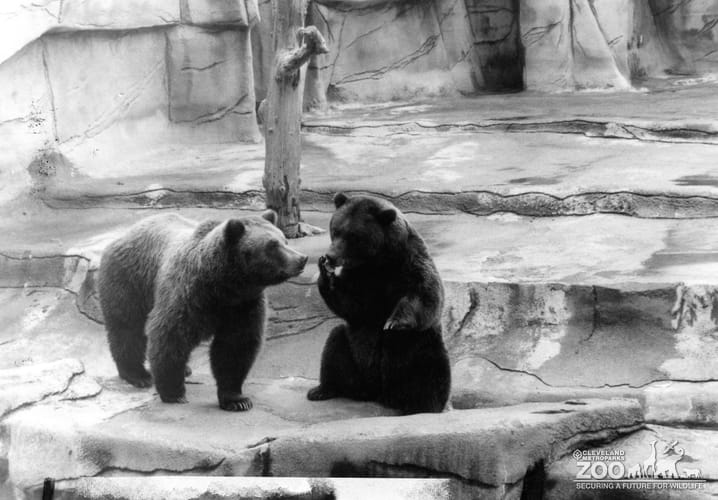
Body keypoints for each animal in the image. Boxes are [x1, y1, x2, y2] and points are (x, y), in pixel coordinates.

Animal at [97, 210, 308, 411]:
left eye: (284, 240)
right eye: (272, 245)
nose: (301, 259)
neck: (225, 286)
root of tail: (127, 232)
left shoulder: (243, 306)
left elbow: (235, 346)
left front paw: (237, 399)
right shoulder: (188, 295)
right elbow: (170, 336)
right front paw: (174, 393)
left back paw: (185, 369)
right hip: (130, 280)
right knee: (127, 327)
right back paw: (138, 374)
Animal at [307, 193, 451, 414]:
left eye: (353, 236)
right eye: (336, 230)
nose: (330, 256)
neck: (377, 262)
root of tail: (376, 393)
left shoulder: (409, 262)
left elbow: (426, 294)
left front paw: (394, 321)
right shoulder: (360, 278)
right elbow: (353, 307)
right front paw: (326, 273)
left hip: (420, 349)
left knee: (428, 372)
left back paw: (422, 405)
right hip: (353, 356)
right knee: (335, 346)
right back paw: (322, 390)